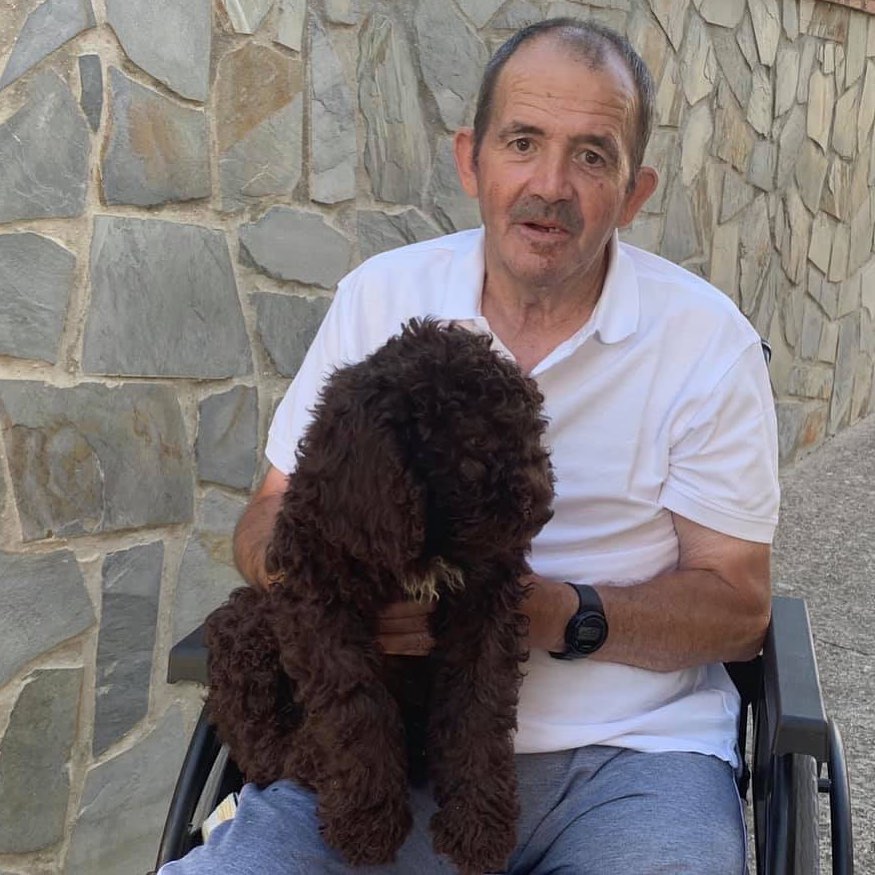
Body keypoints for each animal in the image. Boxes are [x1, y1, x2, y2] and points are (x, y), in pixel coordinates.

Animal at [204, 318, 554, 873]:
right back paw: (309, 757)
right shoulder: (319, 602)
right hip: (248, 625)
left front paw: (478, 829)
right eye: (476, 443)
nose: (542, 508)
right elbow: (355, 711)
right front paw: (366, 825)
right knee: (259, 747)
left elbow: (478, 708)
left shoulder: (484, 608)